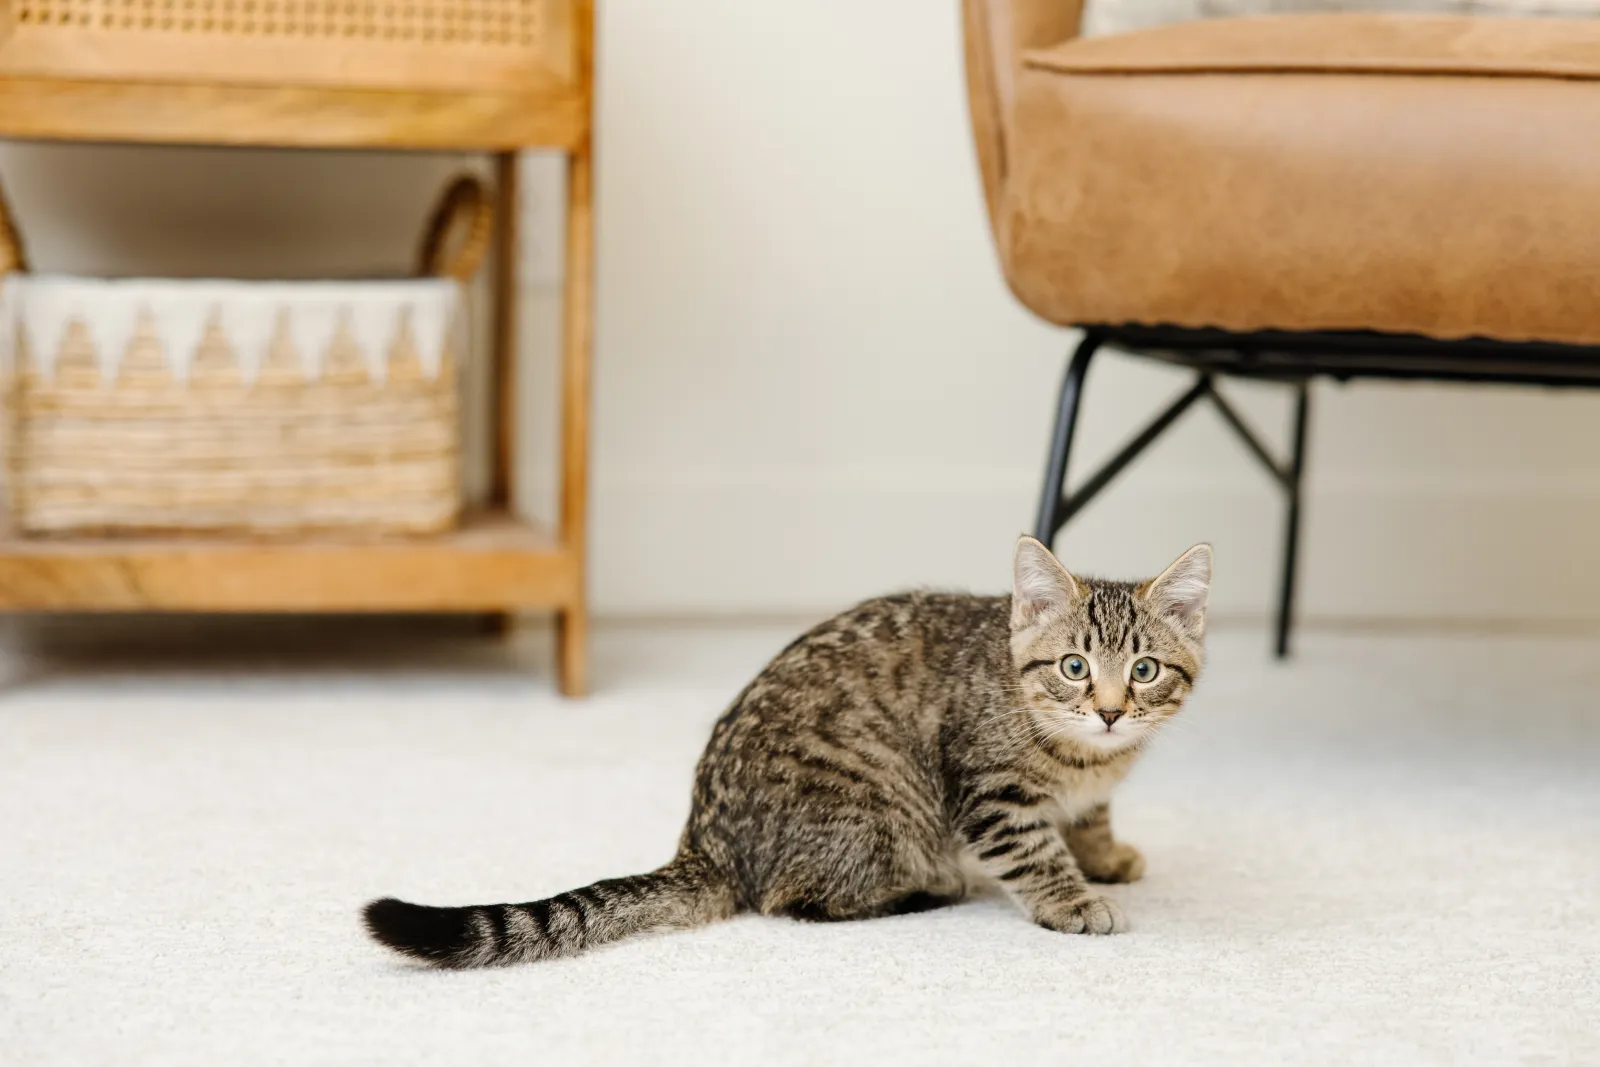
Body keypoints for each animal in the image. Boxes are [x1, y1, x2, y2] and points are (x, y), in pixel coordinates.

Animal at [366, 537, 1209, 966]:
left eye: (1144, 670)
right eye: (1073, 666)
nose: (1109, 711)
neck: (1080, 754)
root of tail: (704, 839)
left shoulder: (1093, 780)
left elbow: (1090, 815)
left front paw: (1105, 853)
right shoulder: (989, 789)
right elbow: (1034, 851)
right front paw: (1074, 897)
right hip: (878, 811)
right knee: (794, 899)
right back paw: (930, 887)